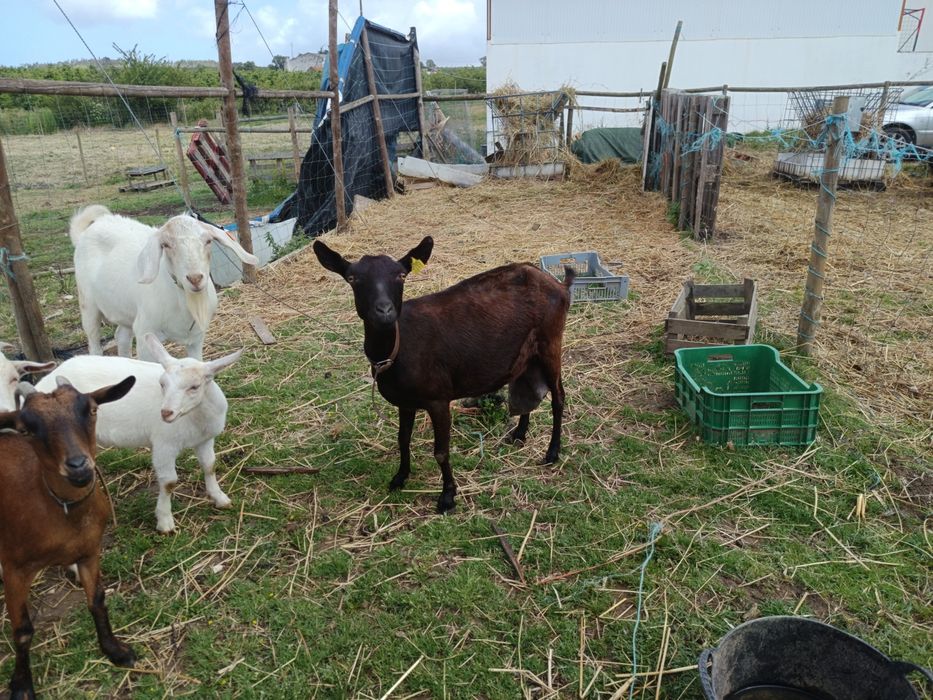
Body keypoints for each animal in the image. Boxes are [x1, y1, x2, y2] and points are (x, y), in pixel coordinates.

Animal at [0, 375, 136, 699]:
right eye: (26, 430)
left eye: (93, 410)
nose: (78, 466)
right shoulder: (15, 569)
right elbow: (22, 631)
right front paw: (21, 686)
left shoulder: (89, 551)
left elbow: (97, 600)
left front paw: (115, 650)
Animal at [37, 334, 242, 533]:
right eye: (162, 384)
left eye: (195, 386)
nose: (166, 413)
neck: (195, 417)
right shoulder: (164, 445)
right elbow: (169, 482)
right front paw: (165, 521)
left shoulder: (205, 439)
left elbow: (209, 466)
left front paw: (220, 498)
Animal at [70, 205, 258, 362]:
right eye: (166, 245)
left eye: (208, 241)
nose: (195, 278)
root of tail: (87, 231)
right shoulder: (145, 335)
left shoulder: (196, 338)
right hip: (88, 304)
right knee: (94, 341)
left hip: (126, 310)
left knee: (121, 336)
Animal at [314, 236, 574, 513]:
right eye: (352, 278)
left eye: (401, 275)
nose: (384, 311)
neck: (398, 348)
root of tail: (559, 284)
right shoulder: (406, 403)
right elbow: (402, 439)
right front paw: (400, 477)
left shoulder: (438, 399)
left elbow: (441, 451)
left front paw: (447, 496)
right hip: (527, 354)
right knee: (526, 390)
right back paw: (519, 434)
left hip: (551, 341)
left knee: (558, 396)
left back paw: (552, 453)